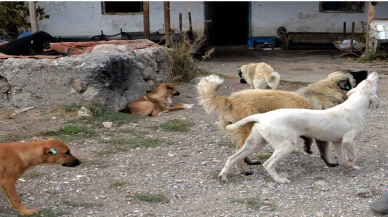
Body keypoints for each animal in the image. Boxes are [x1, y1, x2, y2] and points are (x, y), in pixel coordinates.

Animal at [218, 71, 378, 183]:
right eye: (369, 82)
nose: (375, 73)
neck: (353, 106)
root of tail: (263, 117)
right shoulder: (348, 141)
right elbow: (353, 156)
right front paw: (352, 163)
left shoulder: (338, 142)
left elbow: (343, 159)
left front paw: (350, 166)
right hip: (286, 146)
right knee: (268, 164)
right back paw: (280, 180)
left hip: (255, 143)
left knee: (232, 158)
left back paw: (223, 176)